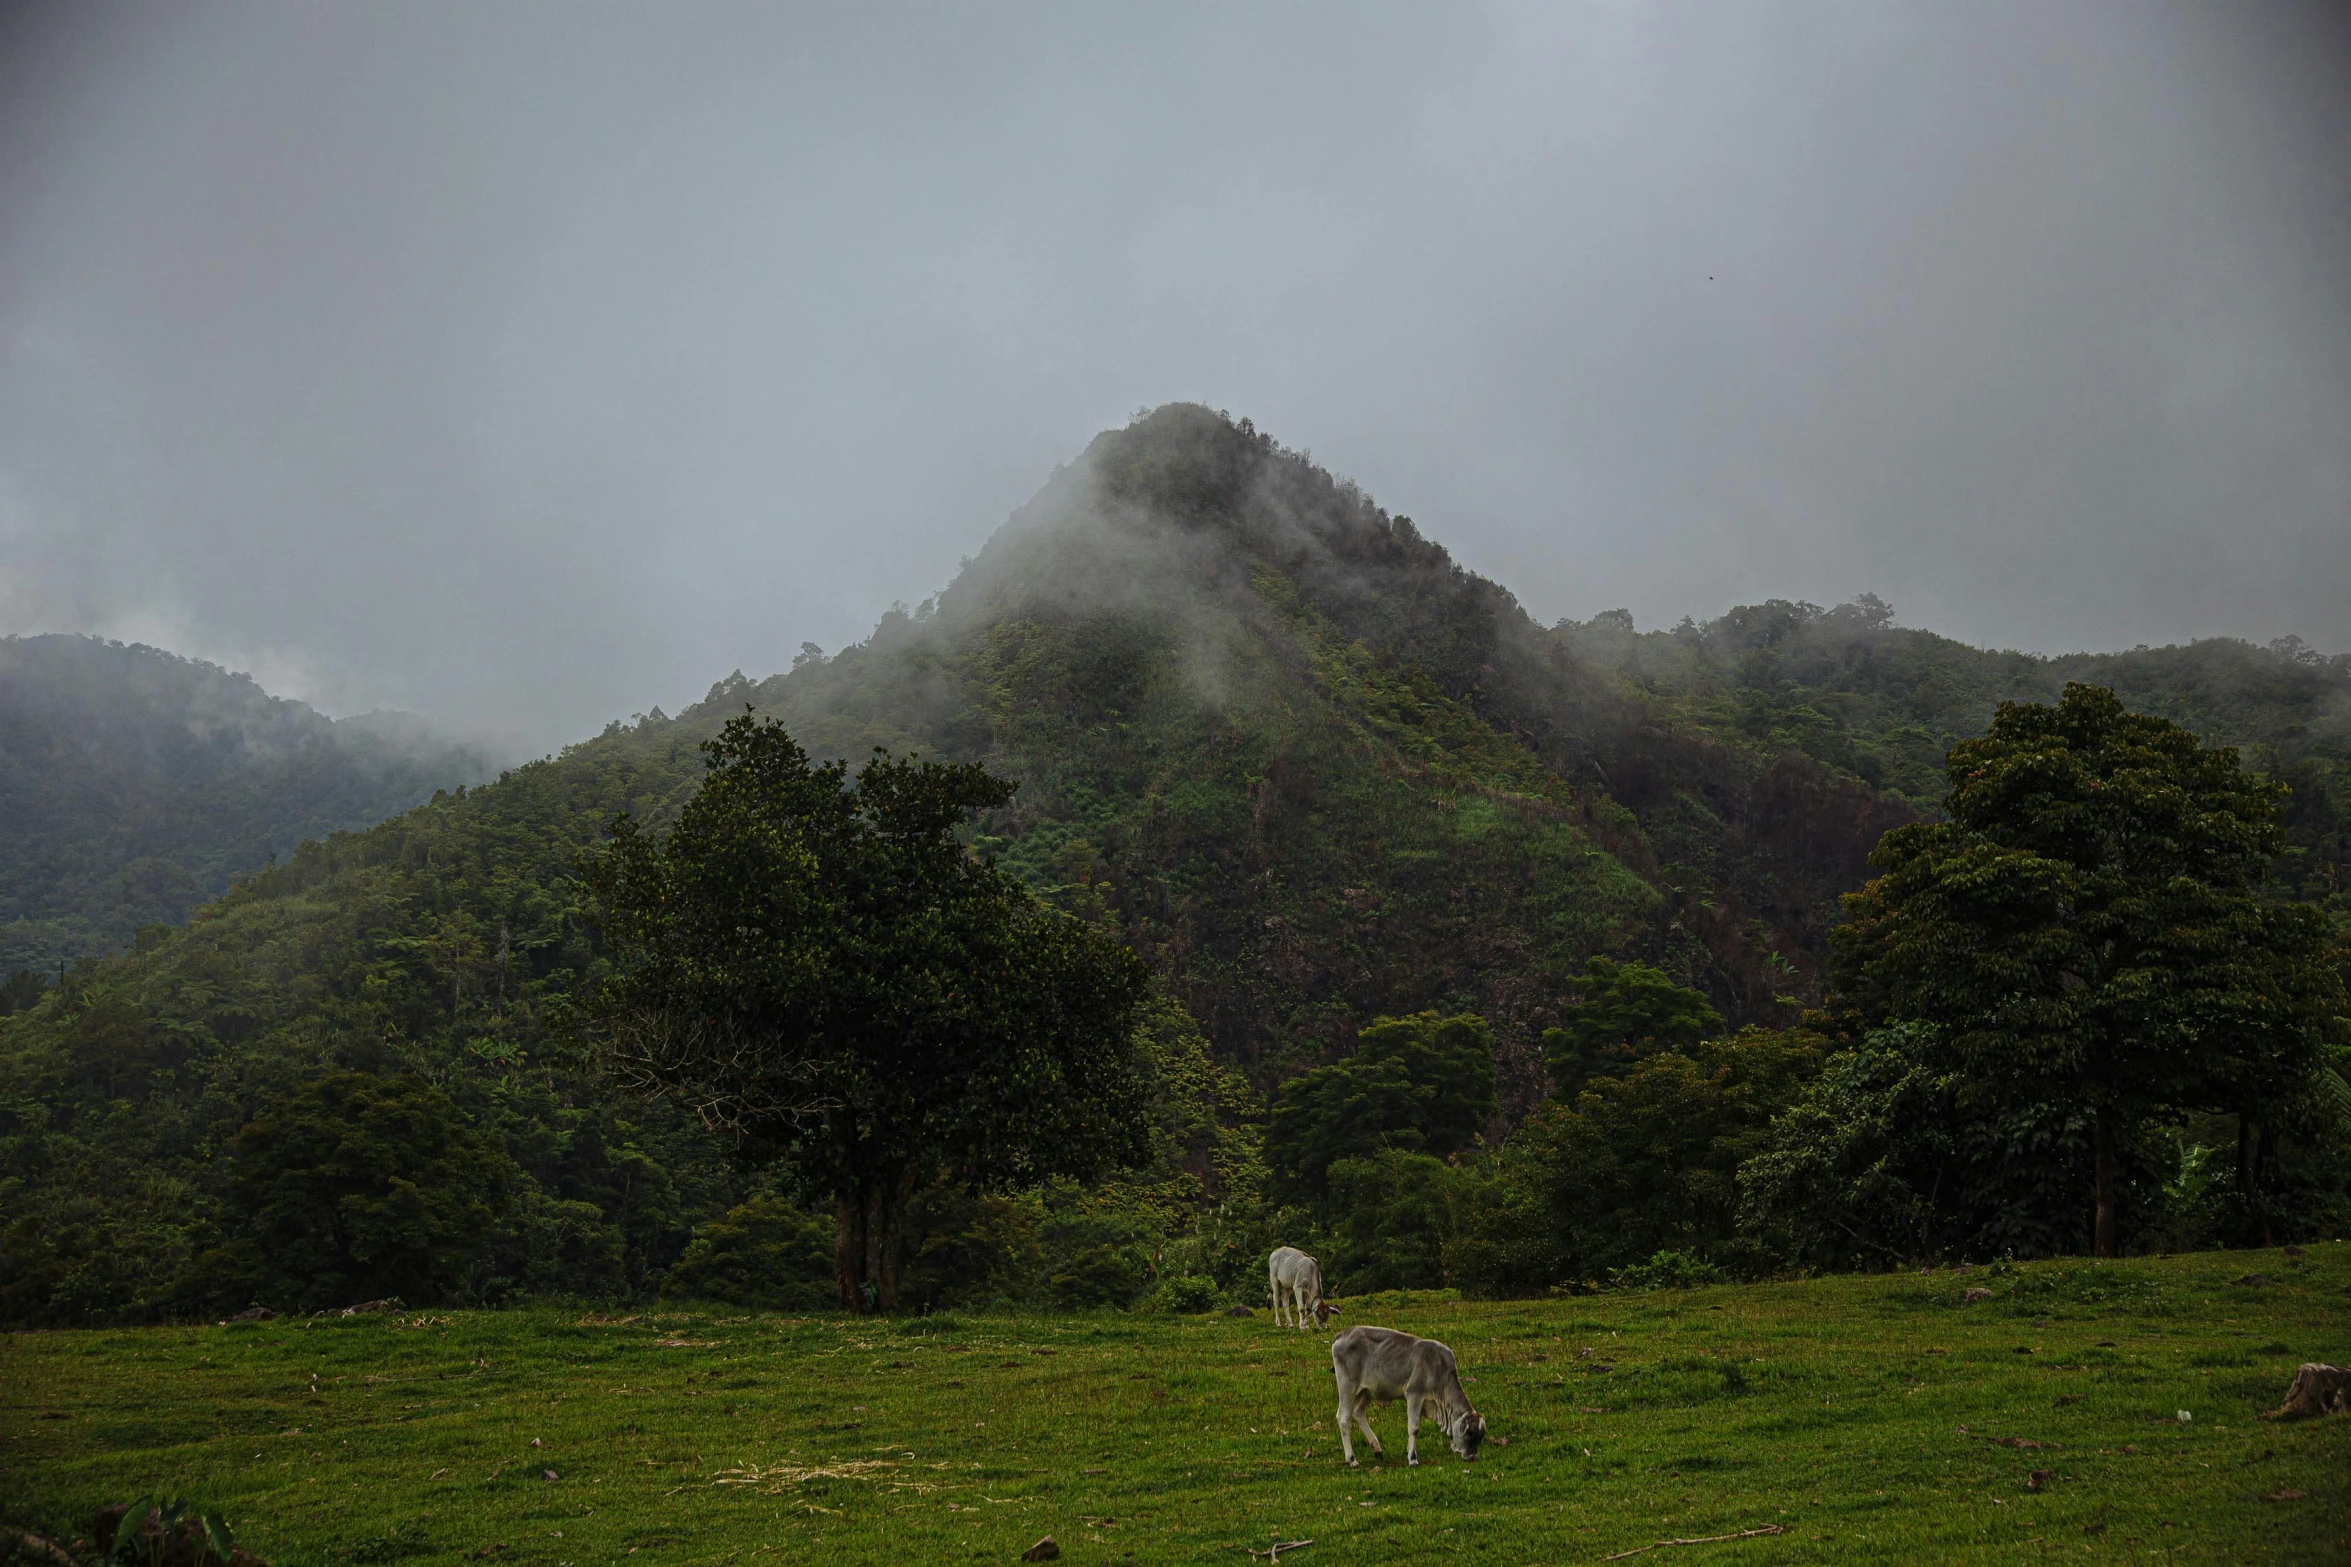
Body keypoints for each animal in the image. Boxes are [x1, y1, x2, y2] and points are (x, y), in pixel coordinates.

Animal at [1325, 1325, 1485, 1475]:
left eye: (1481, 1436)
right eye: (1470, 1433)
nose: (1472, 1457)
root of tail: (1344, 1333)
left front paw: (1409, 1451)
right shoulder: (1414, 1394)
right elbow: (1414, 1427)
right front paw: (1412, 1458)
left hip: (1365, 1392)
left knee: (1358, 1413)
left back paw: (1377, 1449)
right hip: (1348, 1387)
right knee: (1344, 1418)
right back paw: (1352, 1459)